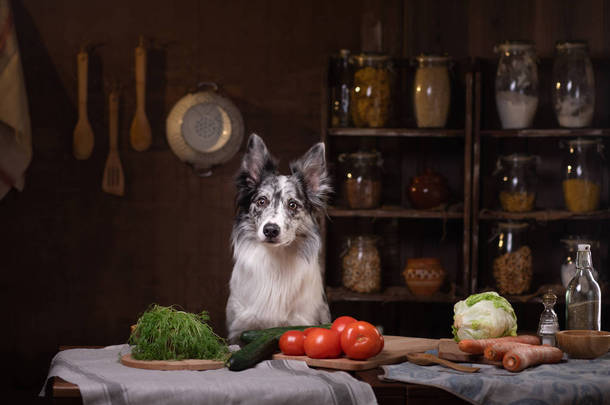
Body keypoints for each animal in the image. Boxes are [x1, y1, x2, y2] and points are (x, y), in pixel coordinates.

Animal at [224, 133, 330, 340]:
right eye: (261, 201)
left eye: (292, 205)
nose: (271, 230)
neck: (276, 259)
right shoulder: (238, 330)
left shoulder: (302, 321)